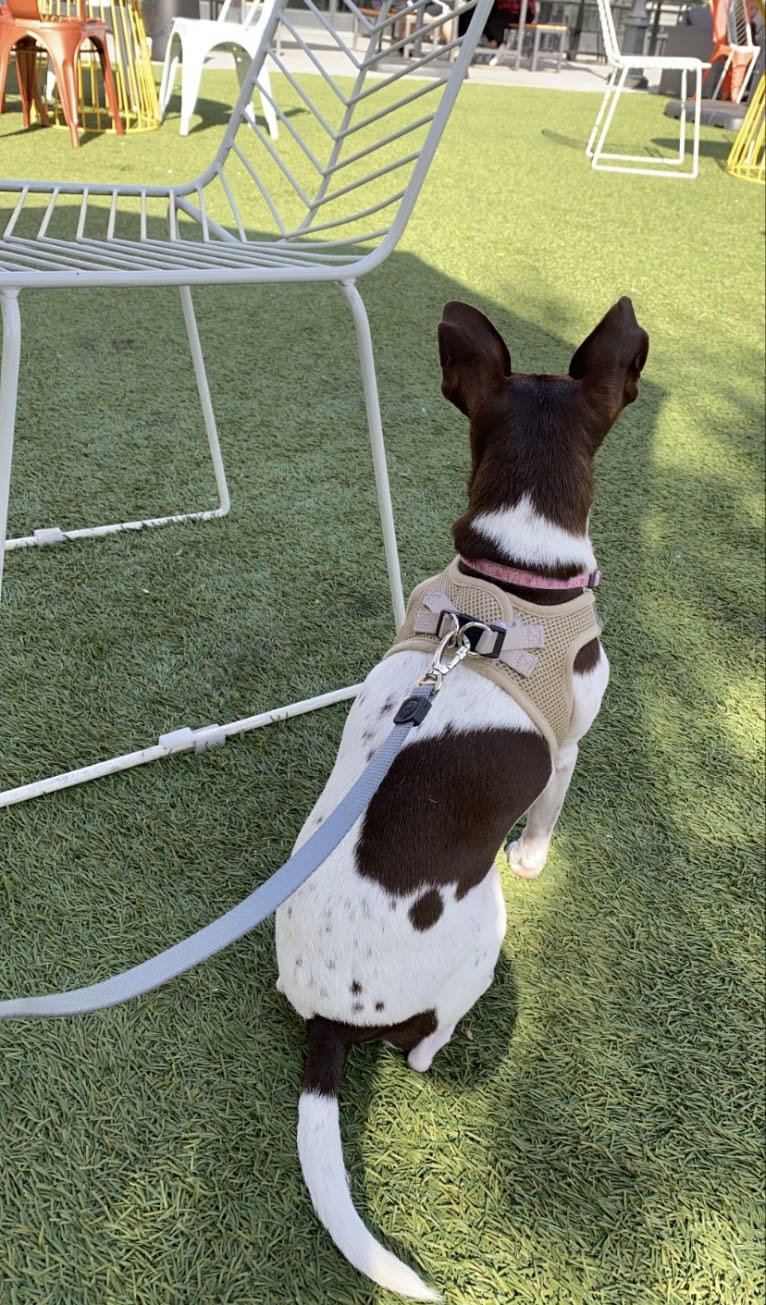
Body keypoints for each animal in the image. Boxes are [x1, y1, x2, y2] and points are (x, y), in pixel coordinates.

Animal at [275, 298, 647, 1305]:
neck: (511, 587)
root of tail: (330, 1018)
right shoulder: (568, 746)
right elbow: (549, 810)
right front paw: (536, 853)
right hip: (484, 935)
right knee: (422, 1046)